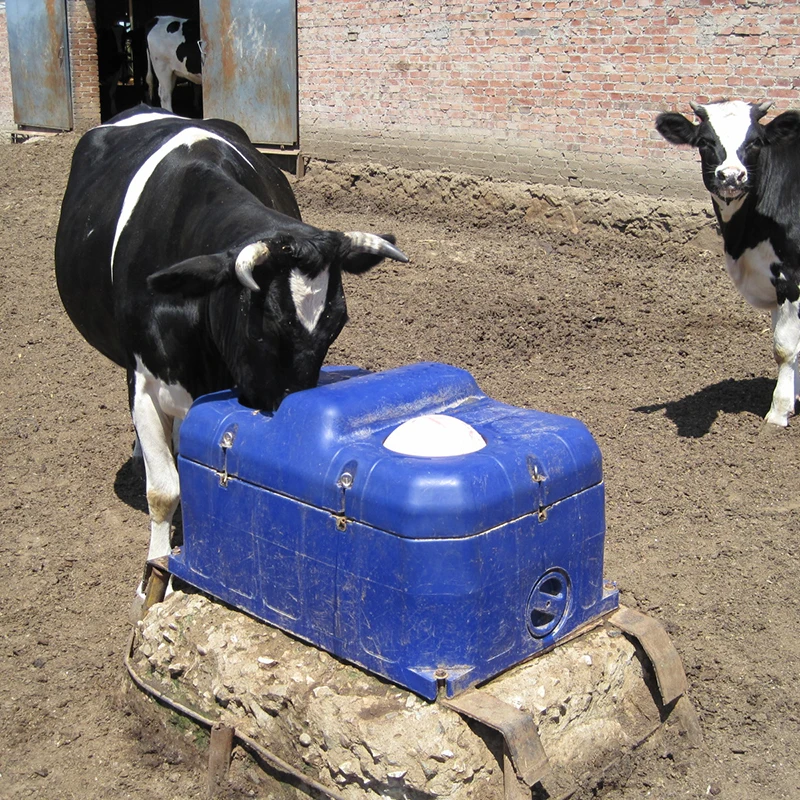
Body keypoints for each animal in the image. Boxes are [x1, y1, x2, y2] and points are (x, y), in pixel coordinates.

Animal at [655, 100, 800, 427]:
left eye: (755, 141)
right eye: (705, 142)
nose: (732, 176)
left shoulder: (792, 276)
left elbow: (784, 348)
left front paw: (779, 411)